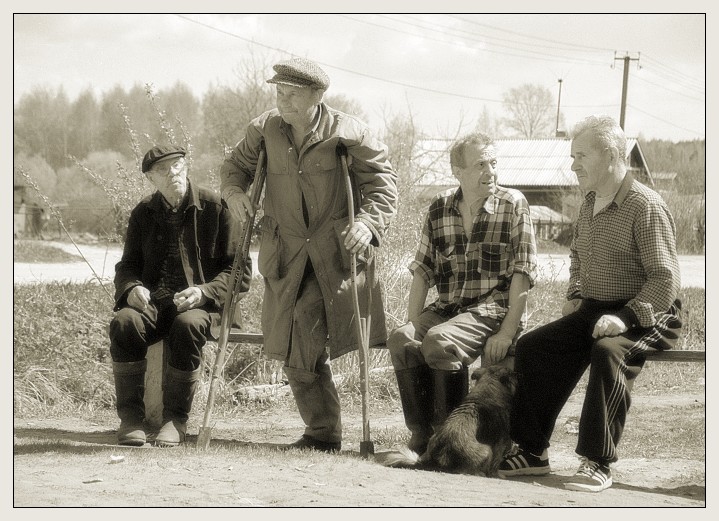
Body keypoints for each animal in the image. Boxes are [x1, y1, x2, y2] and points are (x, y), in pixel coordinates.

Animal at [382, 364, 516, 478]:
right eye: (511, 373)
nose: (517, 373)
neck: (489, 385)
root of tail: (436, 461)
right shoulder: (500, 443)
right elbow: (495, 464)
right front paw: (497, 475)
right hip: (486, 450)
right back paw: (480, 473)